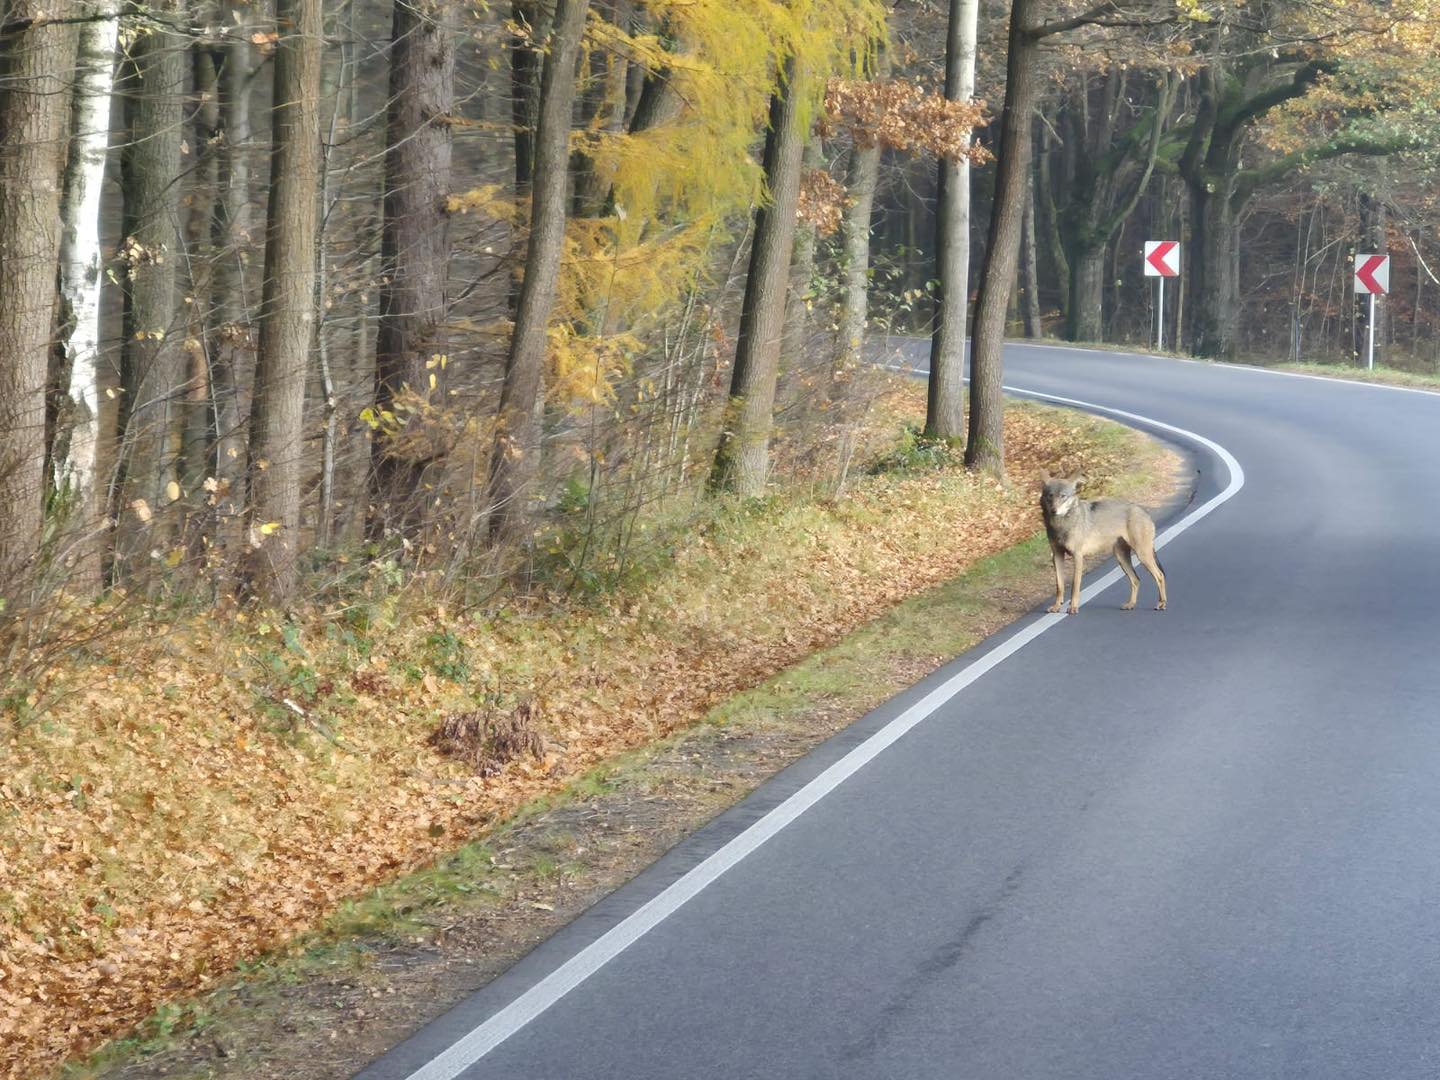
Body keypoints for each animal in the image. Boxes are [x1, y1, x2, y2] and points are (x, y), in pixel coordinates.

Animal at [1042, 472, 1163, 616]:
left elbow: (1075, 586)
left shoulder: (1078, 556)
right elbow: (1059, 585)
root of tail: (1143, 510)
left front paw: (1073, 607)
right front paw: (1056, 606)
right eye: (1050, 496)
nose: (1054, 510)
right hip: (1121, 558)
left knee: (1160, 576)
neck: (1060, 525)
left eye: (1063, 496)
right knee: (1136, 580)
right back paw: (1130, 604)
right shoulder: (1057, 556)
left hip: (1142, 555)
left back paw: (1161, 604)